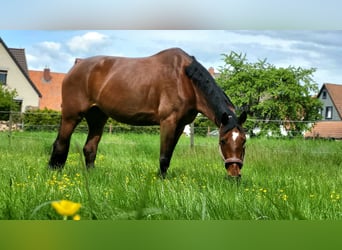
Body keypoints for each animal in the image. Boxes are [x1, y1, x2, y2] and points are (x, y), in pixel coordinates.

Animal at [48, 47, 246, 178]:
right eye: (222, 141)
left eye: (243, 141)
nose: (234, 175)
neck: (184, 79)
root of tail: (77, 66)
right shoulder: (168, 122)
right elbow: (164, 155)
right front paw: (160, 181)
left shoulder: (180, 125)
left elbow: (169, 154)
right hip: (71, 115)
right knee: (60, 144)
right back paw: (54, 173)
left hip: (97, 118)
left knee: (90, 148)